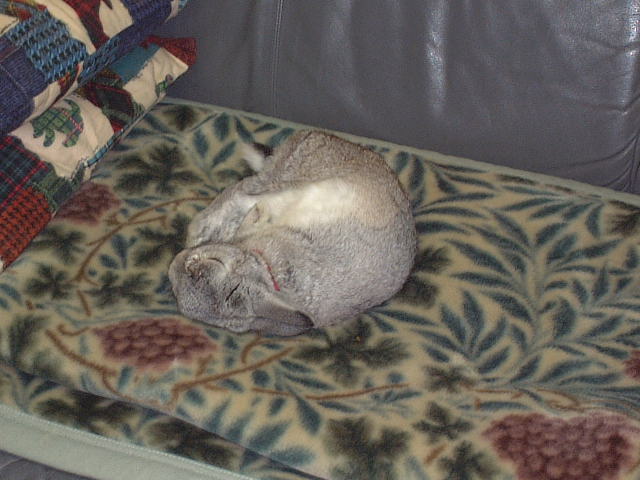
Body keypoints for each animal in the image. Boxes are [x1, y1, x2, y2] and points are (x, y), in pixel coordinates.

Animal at [169, 130, 416, 336]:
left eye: (215, 261)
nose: (176, 263)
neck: (266, 271)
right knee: (243, 193)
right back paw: (200, 230)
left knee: (243, 194)